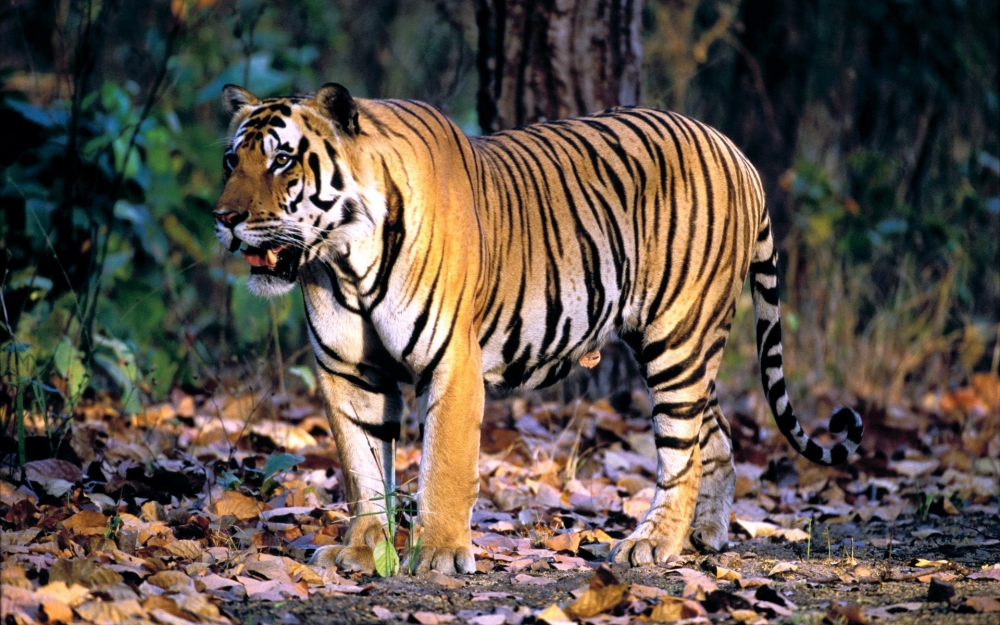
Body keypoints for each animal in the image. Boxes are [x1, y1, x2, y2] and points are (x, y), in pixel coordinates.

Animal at [215, 83, 864, 576]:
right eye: (231, 161)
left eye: (281, 159)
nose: (224, 218)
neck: (343, 257)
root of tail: (737, 152)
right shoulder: (349, 372)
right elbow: (362, 468)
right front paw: (361, 551)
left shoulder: (452, 361)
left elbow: (444, 465)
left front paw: (440, 556)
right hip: (674, 343)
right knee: (718, 435)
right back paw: (705, 535)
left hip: (679, 336)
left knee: (682, 451)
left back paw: (654, 544)